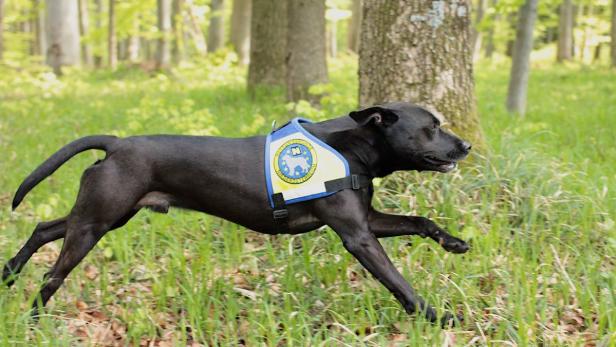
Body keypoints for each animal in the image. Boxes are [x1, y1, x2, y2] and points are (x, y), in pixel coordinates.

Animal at [3, 102, 472, 328]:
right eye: (431, 127)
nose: (465, 145)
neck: (351, 145)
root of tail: (116, 143)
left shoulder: (368, 219)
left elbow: (419, 222)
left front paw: (453, 242)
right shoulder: (357, 235)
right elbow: (398, 281)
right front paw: (435, 317)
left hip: (105, 215)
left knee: (43, 228)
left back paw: (9, 272)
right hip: (96, 223)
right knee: (53, 275)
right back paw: (32, 318)